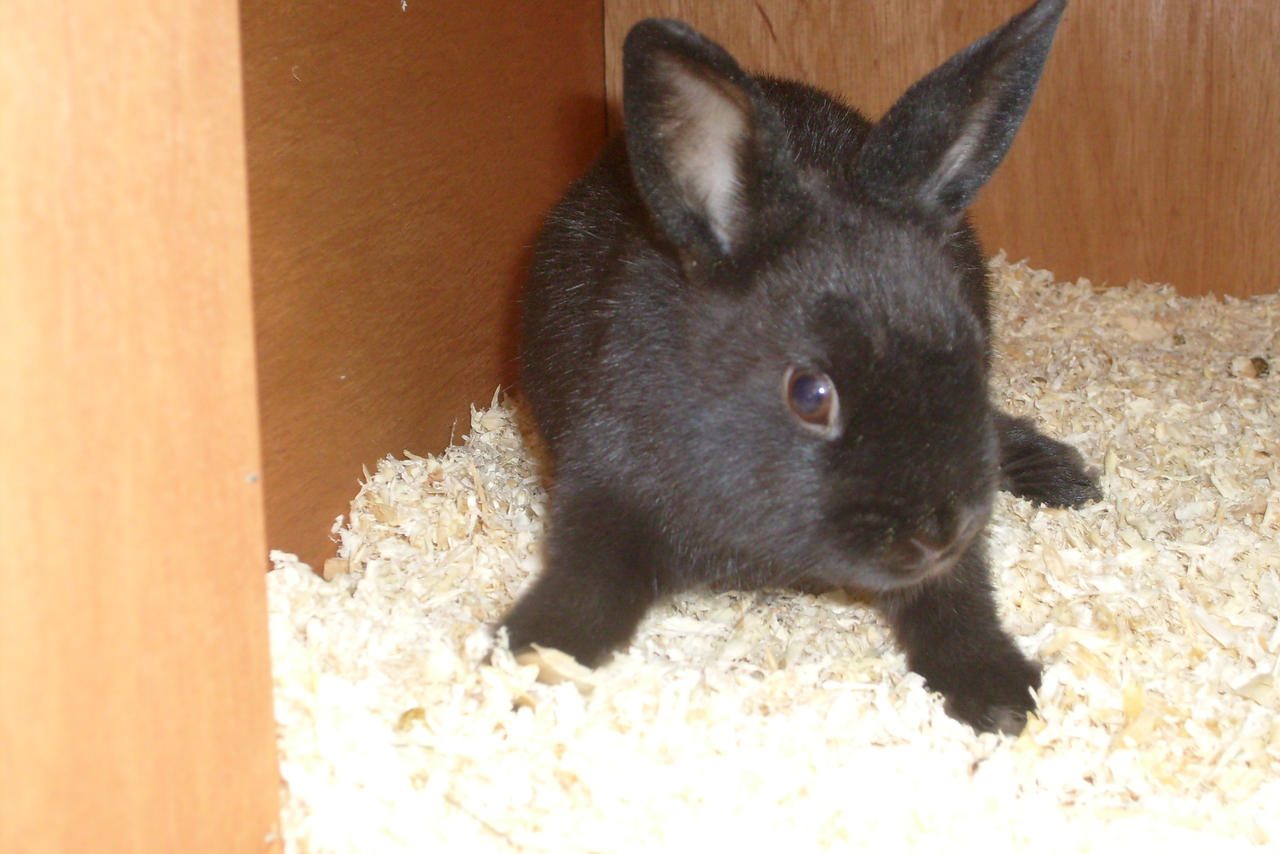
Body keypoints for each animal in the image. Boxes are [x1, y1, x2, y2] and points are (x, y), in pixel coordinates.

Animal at [501, 0, 1099, 735]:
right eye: (811, 394)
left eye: (971, 353)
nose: (940, 534)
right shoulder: (603, 480)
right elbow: (586, 585)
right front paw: (526, 654)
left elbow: (955, 597)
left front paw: (1000, 692)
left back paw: (1064, 475)